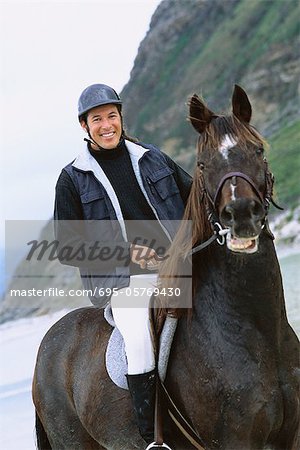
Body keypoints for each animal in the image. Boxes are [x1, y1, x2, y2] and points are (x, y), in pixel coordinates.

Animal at [31, 86, 298, 448]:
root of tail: (49, 343)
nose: (241, 214)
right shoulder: (234, 440)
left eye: (258, 150)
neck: (257, 329)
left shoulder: (292, 434)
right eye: (202, 164)